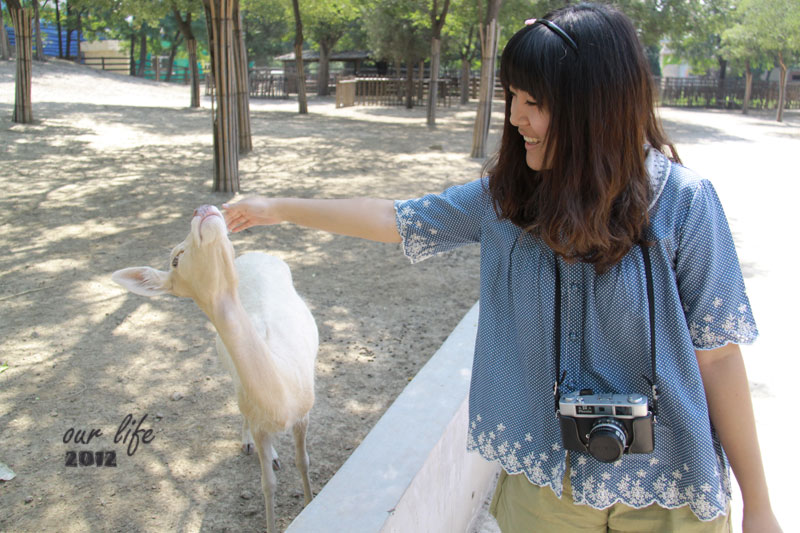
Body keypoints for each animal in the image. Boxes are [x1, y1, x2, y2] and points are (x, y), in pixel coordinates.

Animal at [113, 205, 318, 532]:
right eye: (175, 258)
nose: (201, 210)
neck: (281, 397)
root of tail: (256, 254)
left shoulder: (305, 412)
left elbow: (304, 462)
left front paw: (310, 502)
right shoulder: (258, 418)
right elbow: (267, 484)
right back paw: (253, 446)